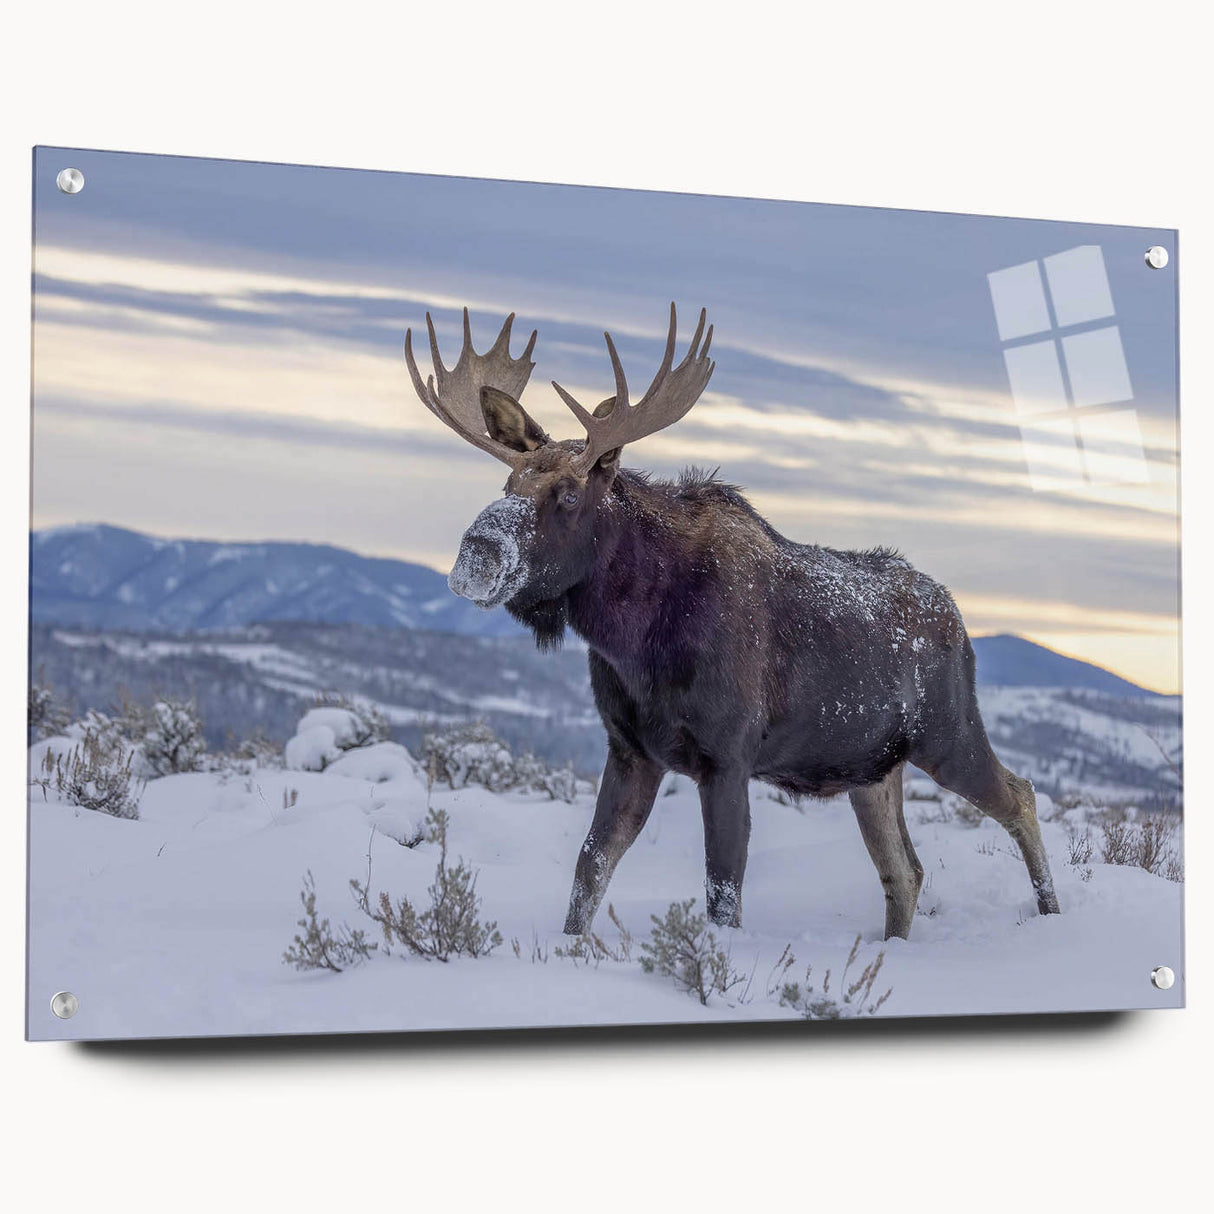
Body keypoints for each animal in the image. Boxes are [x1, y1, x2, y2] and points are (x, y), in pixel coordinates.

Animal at [404, 305, 1060, 940]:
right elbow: (589, 870)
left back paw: (1051, 915)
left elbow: (722, 892)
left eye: (567, 493)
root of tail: (959, 621)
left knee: (1021, 797)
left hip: (948, 734)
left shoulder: (727, 757)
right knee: (906, 870)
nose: (475, 554)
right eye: (509, 480)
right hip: (872, 769)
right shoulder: (631, 750)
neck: (633, 636)